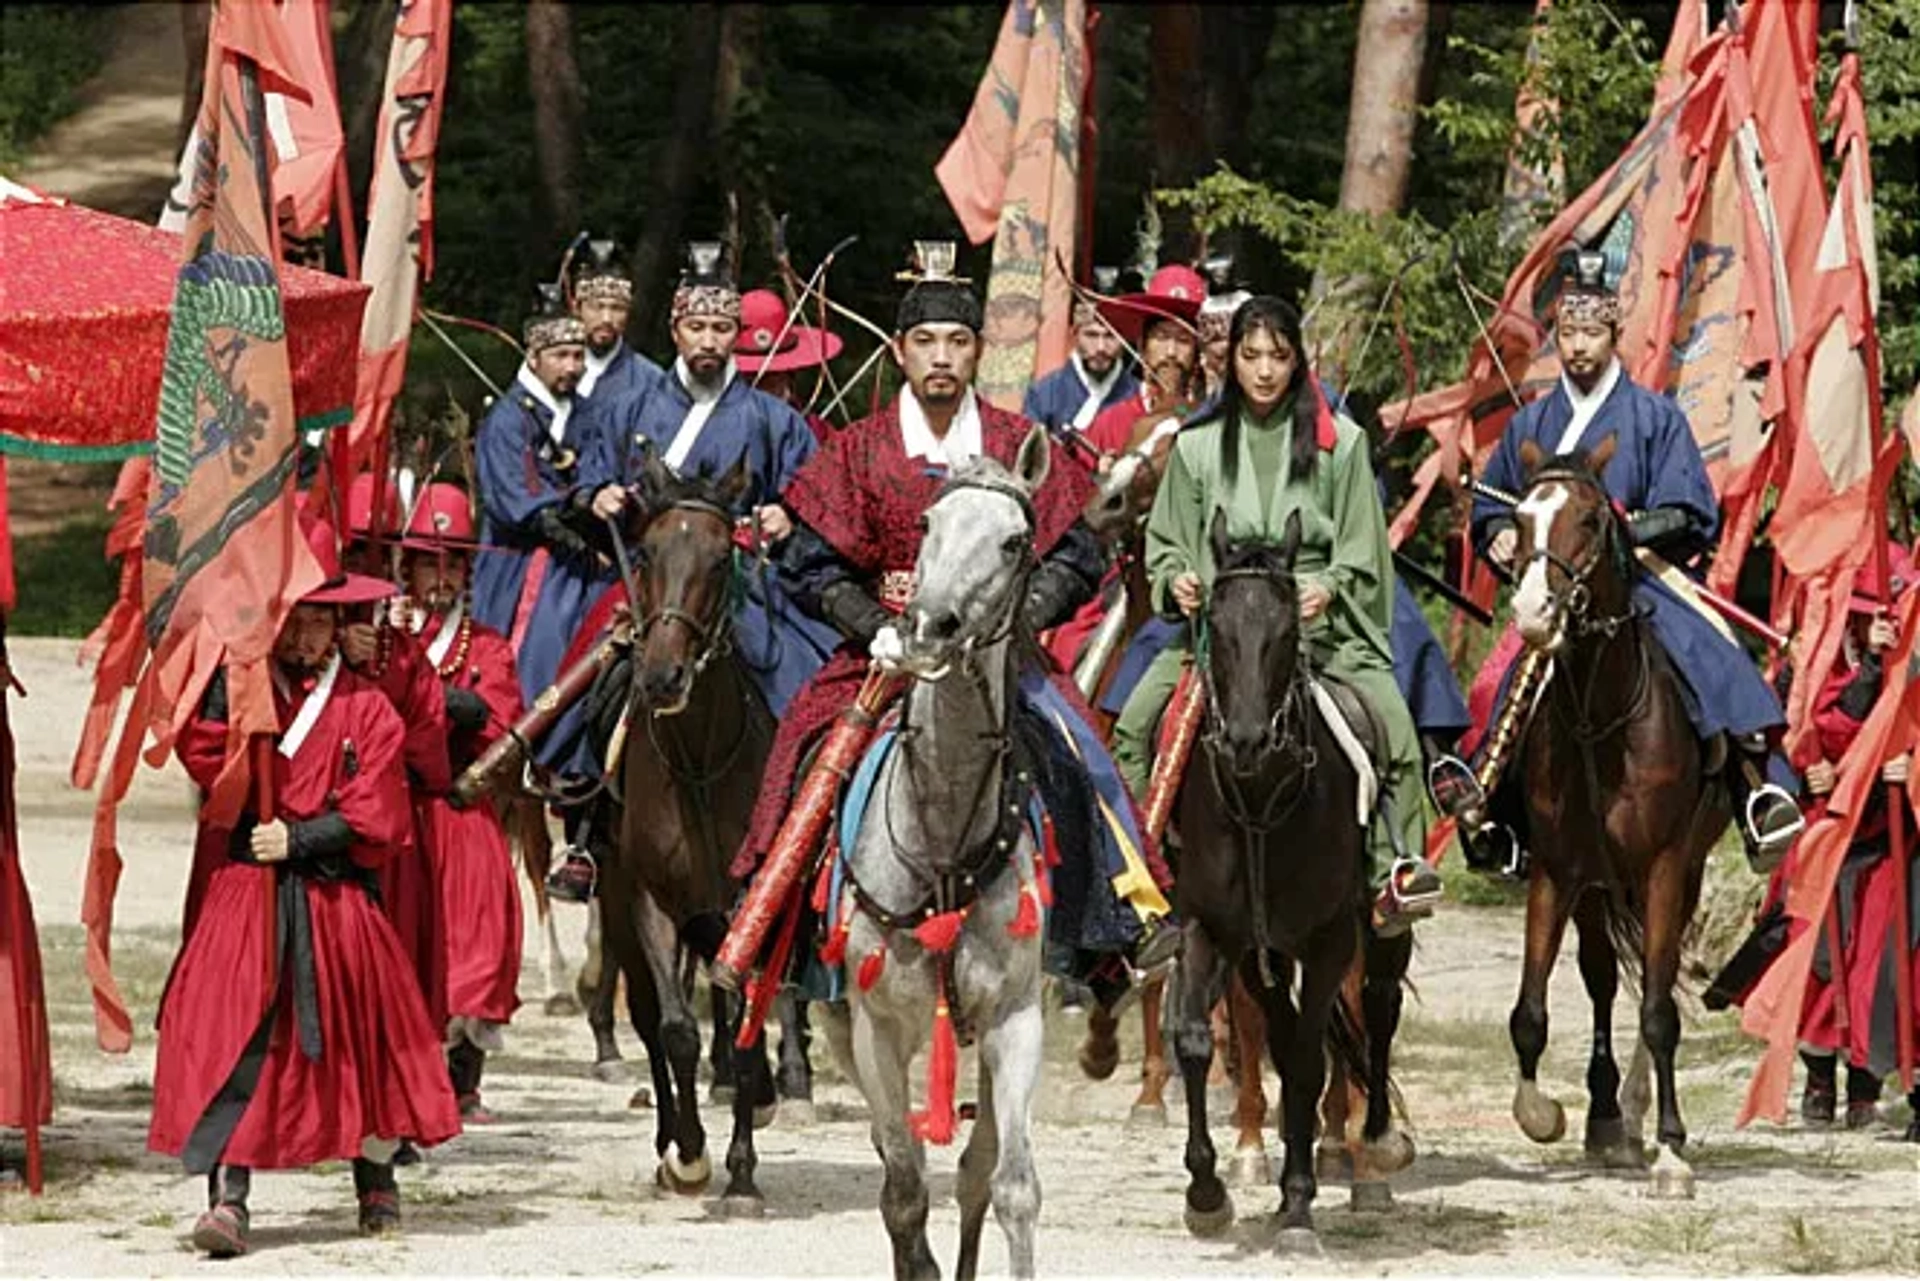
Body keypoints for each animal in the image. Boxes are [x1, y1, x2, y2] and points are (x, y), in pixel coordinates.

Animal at [825, 430, 1059, 1281]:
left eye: (1014, 540)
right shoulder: (877, 1026)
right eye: (927, 524)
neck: (945, 839)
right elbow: (901, 1189)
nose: (929, 624)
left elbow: (1011, 1183)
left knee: (975, 1169)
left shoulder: (1016, 1017)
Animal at [1167, 510, 1413, 1252]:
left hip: (1377, 932)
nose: (1246, 740)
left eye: (1282, 634)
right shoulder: (1211, 930)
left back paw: (1376, 1144)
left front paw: (1301, 1202)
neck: (1260, 801)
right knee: (1279, 1030)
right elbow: (1196, 1041)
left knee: (1379, 1008)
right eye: (1218, 627)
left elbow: (1308, 1061)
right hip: (1261, 957)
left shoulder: (1329, 942)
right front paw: (1207, 1193)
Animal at [1497, 435, 1728, 1198]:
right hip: (1598, 887)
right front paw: (1541, 1112)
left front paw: (1673, 1151)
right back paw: (1607, 1117)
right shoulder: (1557, 870)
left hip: (1681, 874)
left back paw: (1634, 1112)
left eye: (1593, 521)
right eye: (1521, 521)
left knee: (1659, 980)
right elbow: (1530, 1012)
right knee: (1600, 978)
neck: (1601, 717)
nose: (1534, 612)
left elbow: (1659, 1012)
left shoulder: (1663, 867)